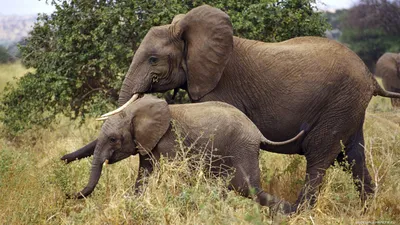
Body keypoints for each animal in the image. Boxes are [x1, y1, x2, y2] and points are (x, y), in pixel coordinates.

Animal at [61, 94, 304, 213]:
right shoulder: (149, 145)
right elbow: (143, 177)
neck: (137, 111)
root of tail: (257, 131)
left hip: (242, 148)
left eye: (113, 139)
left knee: (247, 188)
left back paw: (290, 212)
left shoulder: (170, 142)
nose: (62, 159)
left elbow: (171, 175)